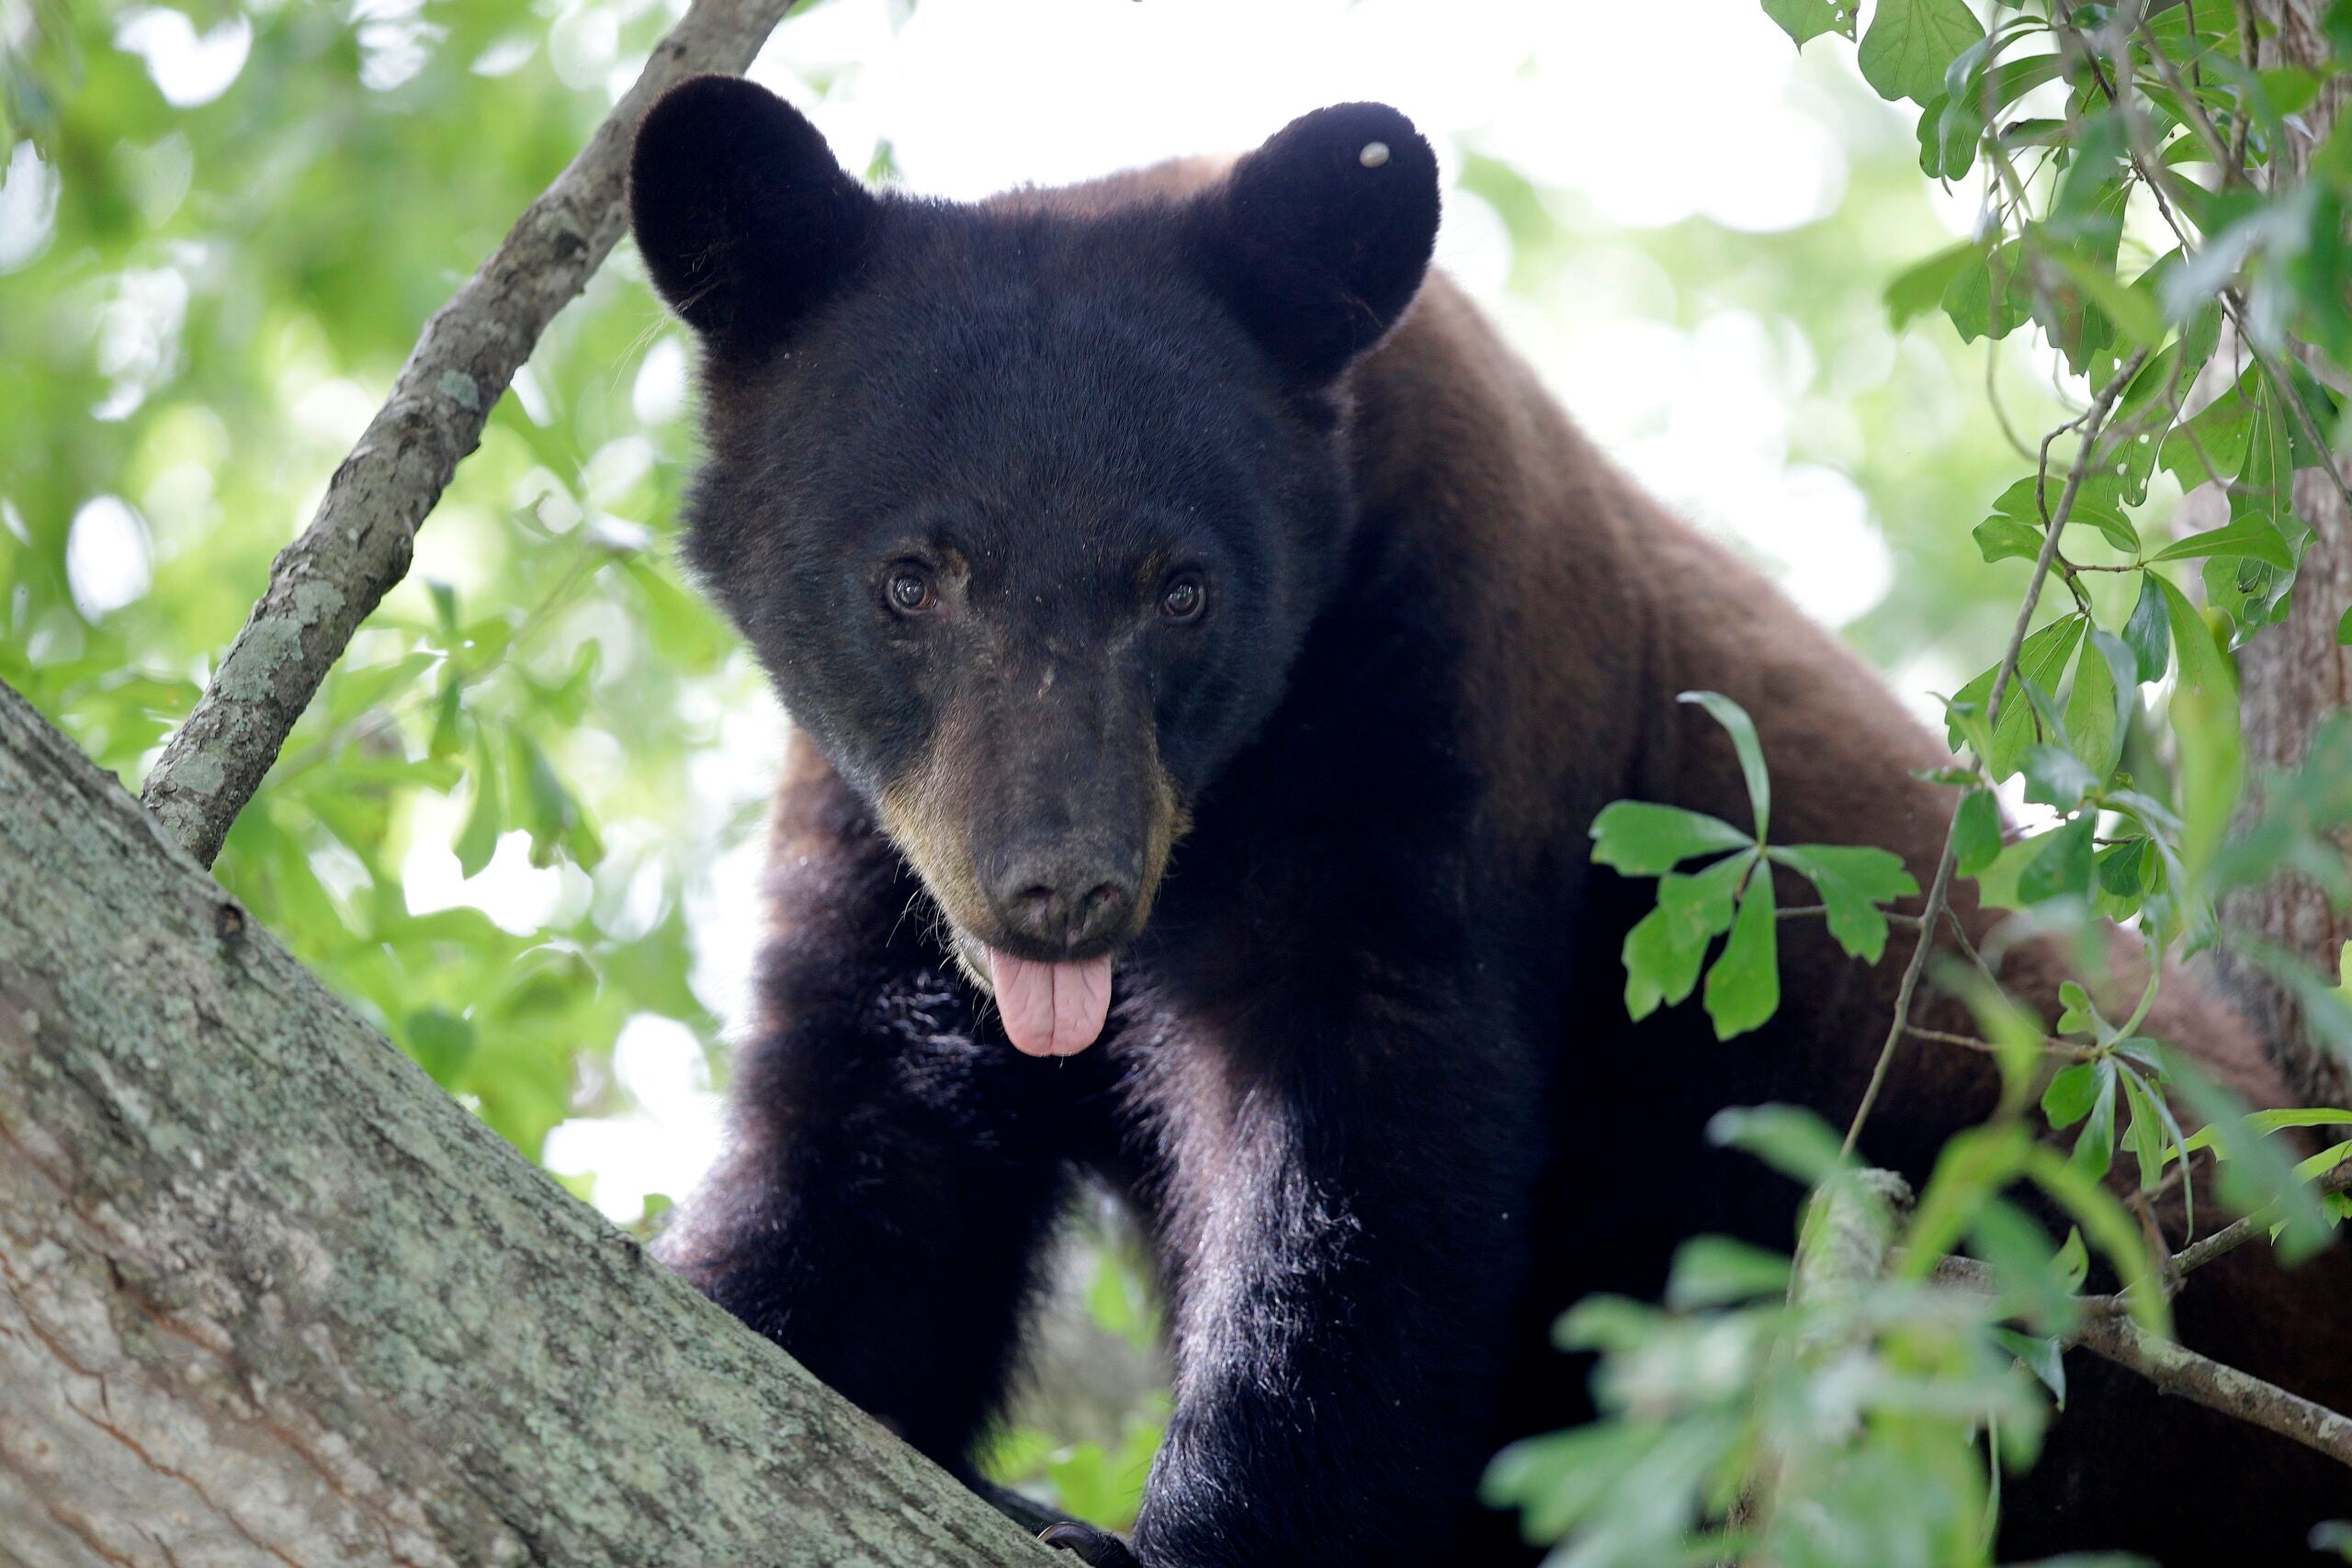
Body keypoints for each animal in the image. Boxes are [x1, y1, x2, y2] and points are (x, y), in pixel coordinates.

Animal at [625, 76, 2352, 1568]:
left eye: (1183, 590)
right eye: (911, 580)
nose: (1062, 886)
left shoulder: (1437, 713)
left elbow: (1366, 1172)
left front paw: (1172, 1536)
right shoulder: (884, 849)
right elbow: (864, 1159)